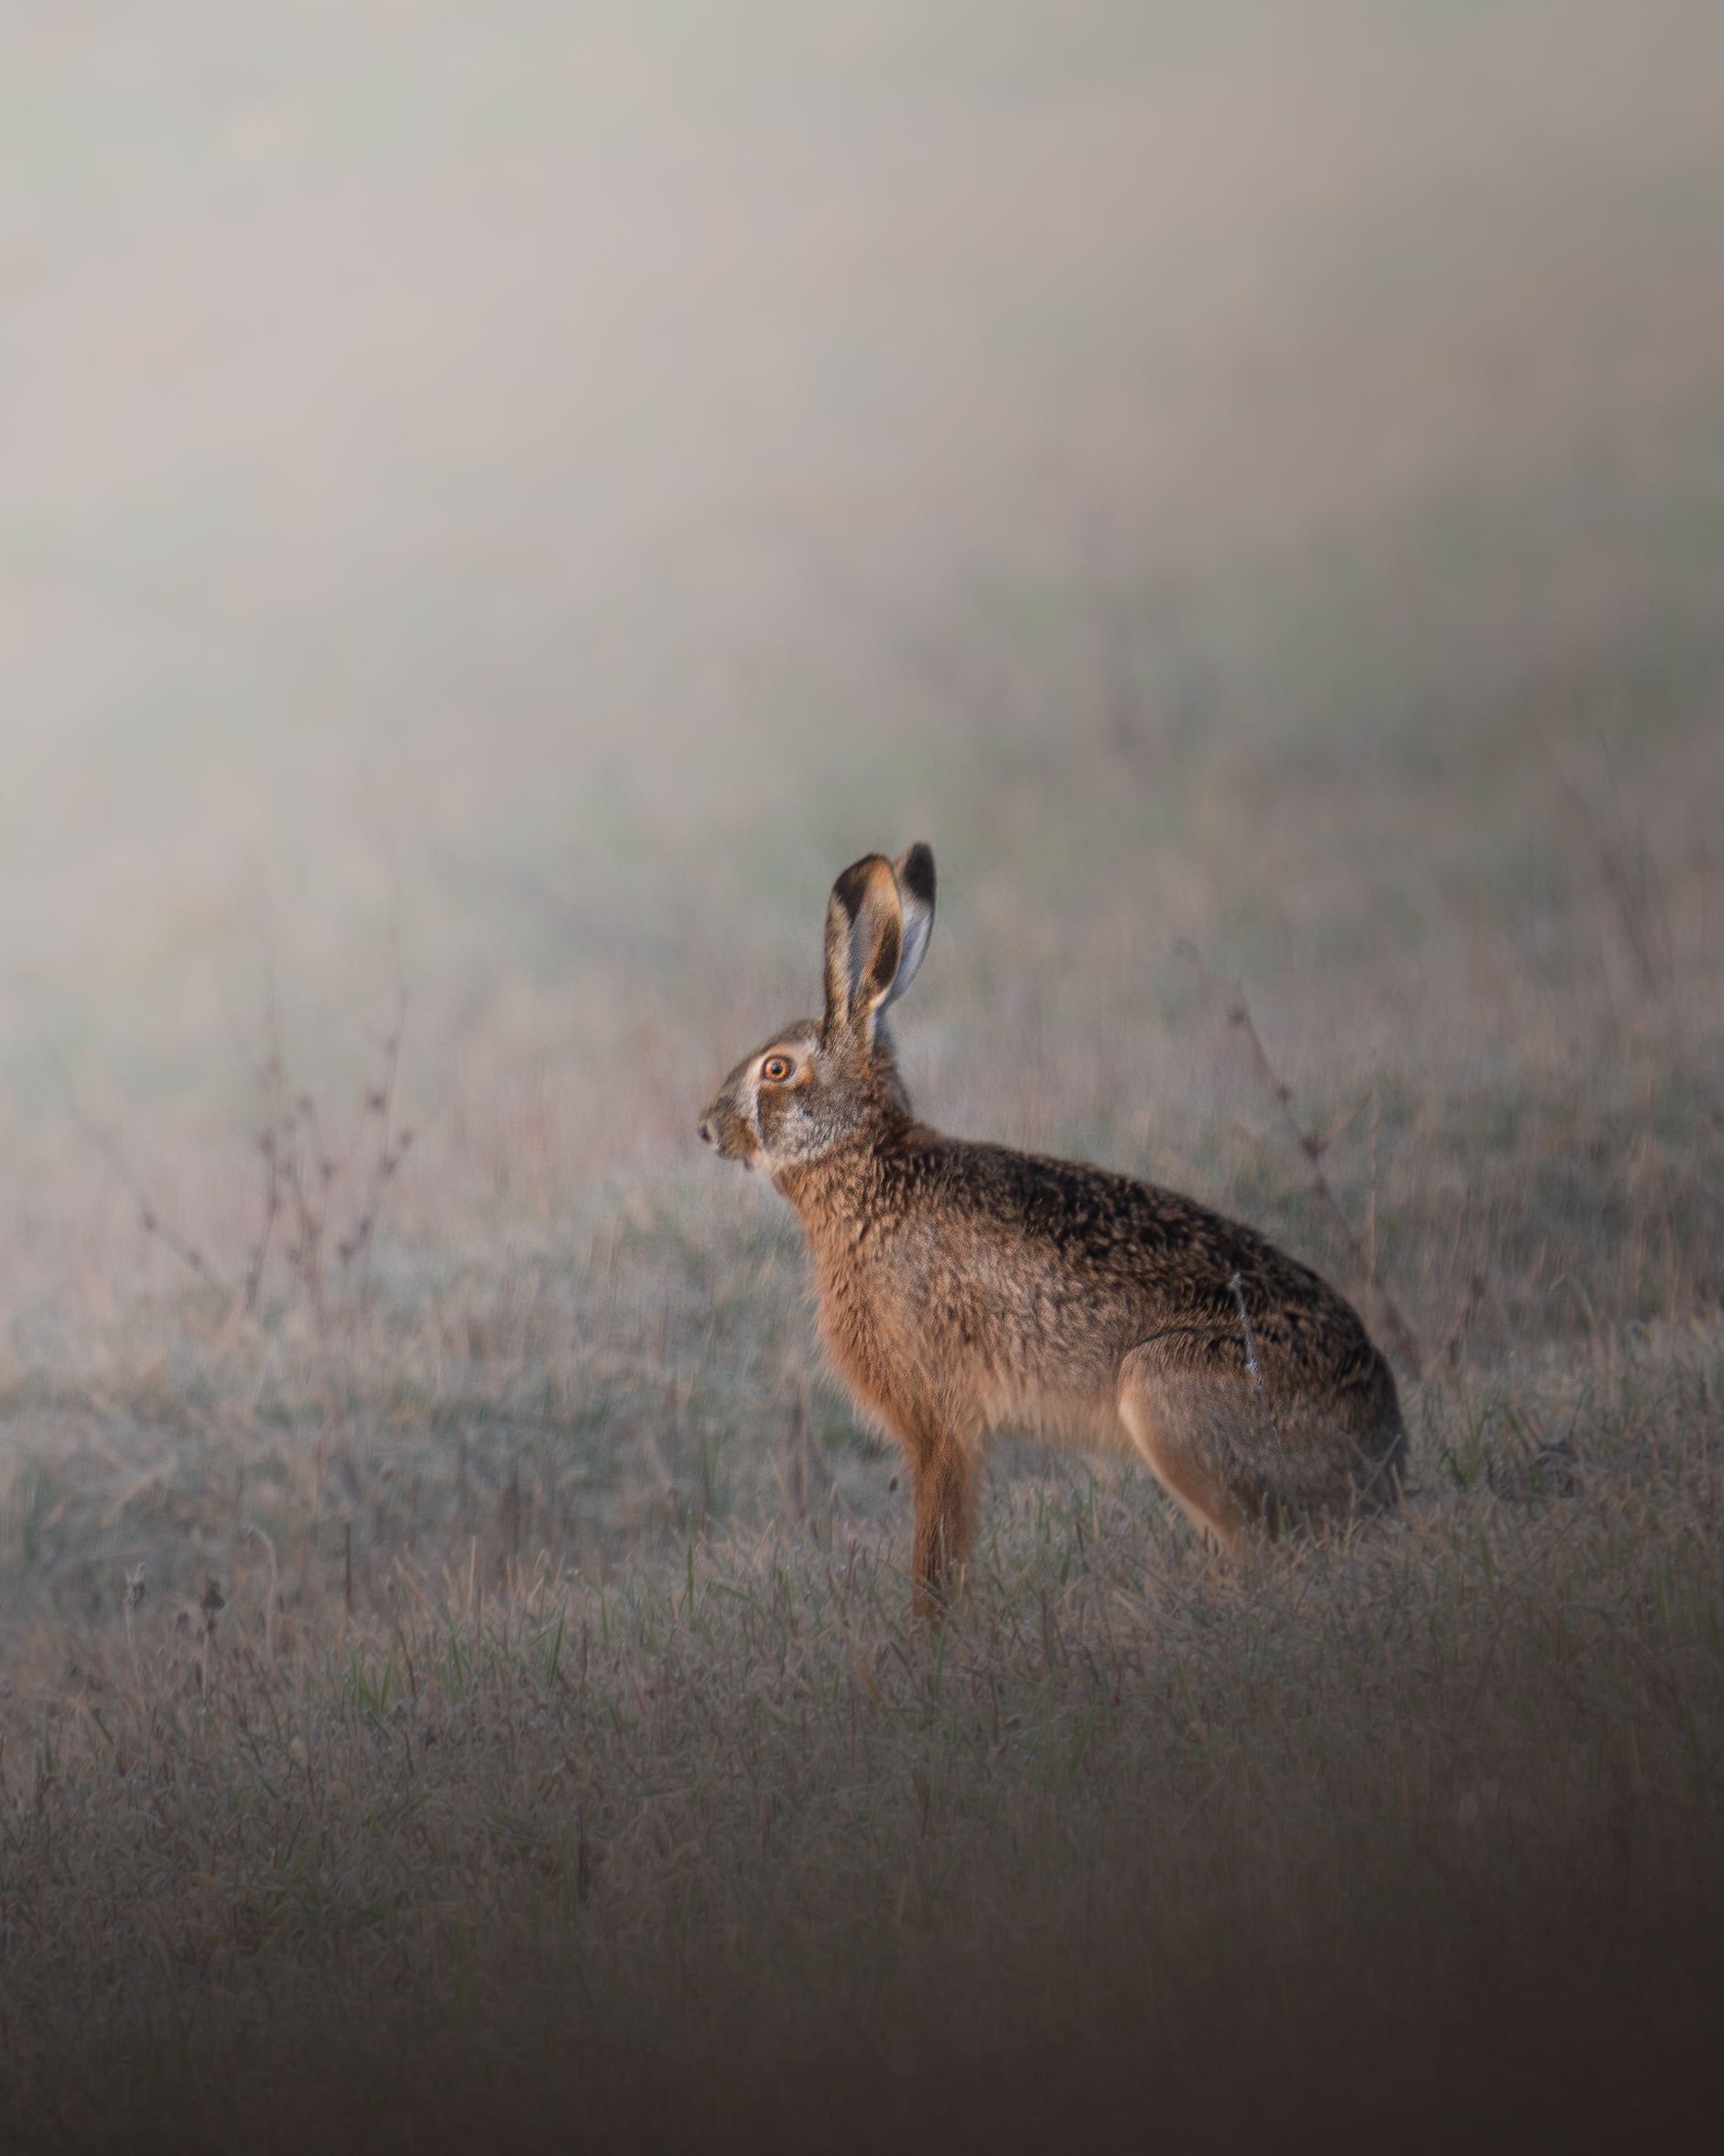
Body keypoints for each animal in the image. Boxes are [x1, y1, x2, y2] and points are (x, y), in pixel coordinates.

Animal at [700, 845, 1408, 1613]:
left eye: (776, 1069)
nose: (706, 1127)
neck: (865, 1165)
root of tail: (1384, 1455)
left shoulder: (939, 1422)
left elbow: (937, 1548)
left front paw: (927, 1634)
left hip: (1164, 1395)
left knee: (1263, 1547)